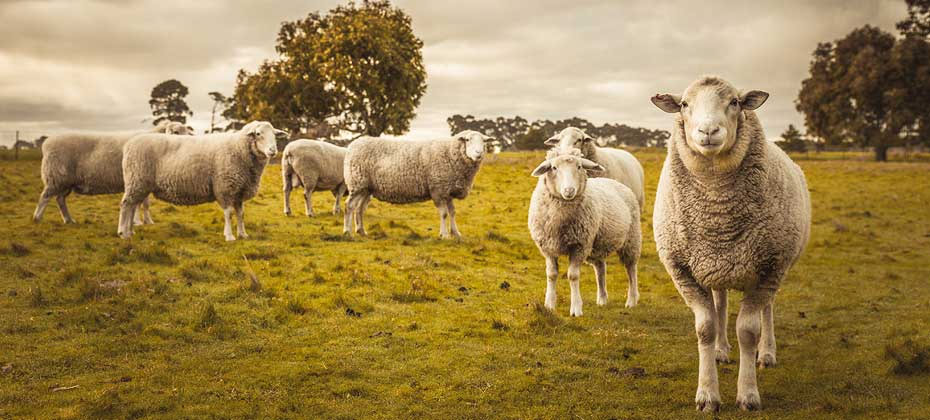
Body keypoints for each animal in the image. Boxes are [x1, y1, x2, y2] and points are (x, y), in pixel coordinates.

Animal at [32, 120, 190, 225]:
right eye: (176, 132)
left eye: (187, 132)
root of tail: (47, 143)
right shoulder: (138, 179)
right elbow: (139, 203)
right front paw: (138, 222)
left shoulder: (143, 181)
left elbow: (144, 204)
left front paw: (147, 221)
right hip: (55, 177)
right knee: (44, 197)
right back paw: (37, 218)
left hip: (65, 181)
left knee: (60, 199)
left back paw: (68, 220)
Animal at [118, 120, 282, 241]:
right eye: (258, 134)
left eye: (274, 134)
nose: (273, 151)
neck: (239, 149)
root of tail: (129, 144)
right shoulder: (225, 188)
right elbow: (229, 214)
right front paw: (229, 236)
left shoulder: (239, 191)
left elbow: (241, 214)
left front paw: (243, 234)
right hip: (137, 180)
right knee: (126, 204)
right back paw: (123, 233)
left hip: (139, 184)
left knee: (132, 206)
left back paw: (130, 232)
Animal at [342, 130, 492, 238]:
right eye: (467, 140)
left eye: (484, 141)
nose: (478, 153)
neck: (450, 153)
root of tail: (353, 145)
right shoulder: (438, 189)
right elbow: (444, 214)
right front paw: (444, 235)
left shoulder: (447, 191)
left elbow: (453, 212)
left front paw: (456, 233)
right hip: (357, 183)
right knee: (349, 206)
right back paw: (347, 231)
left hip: (366, 188)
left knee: (360, 208)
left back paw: (361, 231)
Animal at [524, 149, 640, 316]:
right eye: (554, 167)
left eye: (579, 166)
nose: (569, 190)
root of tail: (616, 182)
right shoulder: (548, 247)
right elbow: (551, 274)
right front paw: (549, 305)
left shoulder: (579, 246)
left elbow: (573, 276)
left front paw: (576, 308)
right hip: (597, 244)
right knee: (600, 269)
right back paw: (602, 299)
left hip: (631, 239)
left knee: (631, 269)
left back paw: (631, 300)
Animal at [648, 76, 808, 414]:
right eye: (684, 104)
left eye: (734, 102)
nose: (708, 131)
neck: (717, 213)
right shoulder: (683, 271)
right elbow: (705, 328)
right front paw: (707, 394)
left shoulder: (769, 267)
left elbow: (748, 331)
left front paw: (748, 394)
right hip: (718, 266)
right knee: (720, 303)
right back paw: (721, 350)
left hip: (769, 268)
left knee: (767, 309)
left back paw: (767, 354)